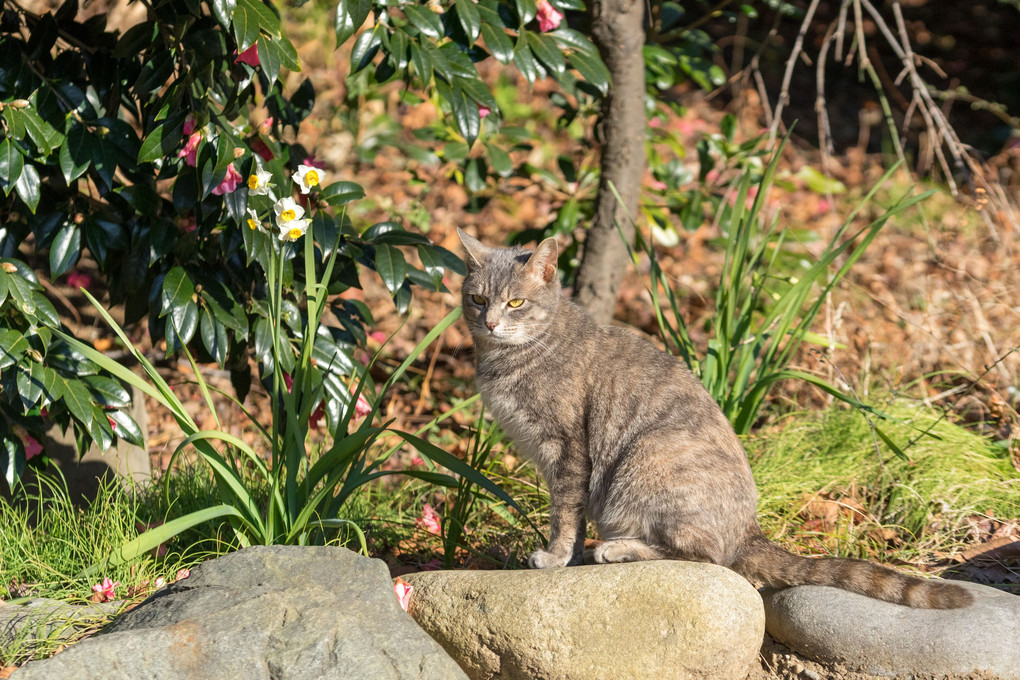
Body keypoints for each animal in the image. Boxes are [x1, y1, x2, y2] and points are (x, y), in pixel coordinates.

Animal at [456, 230, 971, 611]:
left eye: (516, 303)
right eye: (478, 299)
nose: (491, 323)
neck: (515, 357)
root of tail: (750, 528)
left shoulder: (567, 449)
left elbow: (564, 514)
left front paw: (557, 557)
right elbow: (570, 515)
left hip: (646, 462)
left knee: (706, 557)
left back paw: (617, 547)